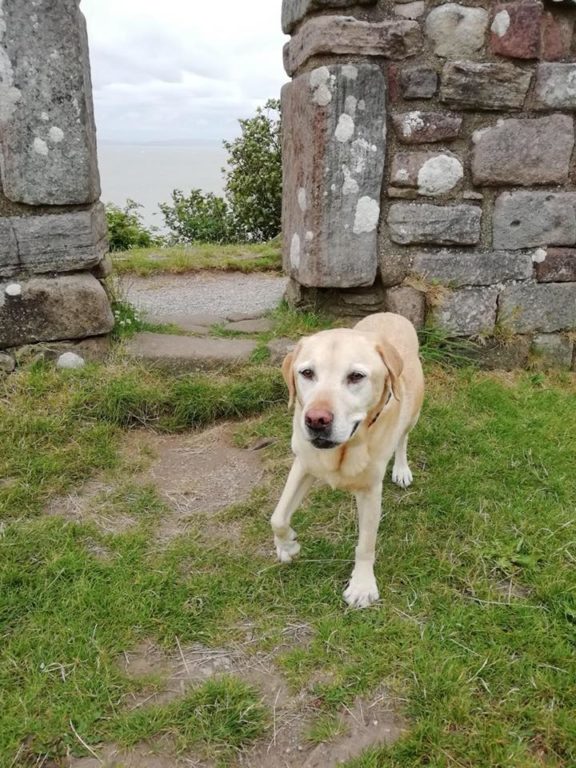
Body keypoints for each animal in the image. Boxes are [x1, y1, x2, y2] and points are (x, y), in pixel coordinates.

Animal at [270, 310, 424, 608]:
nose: (316, 420)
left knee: (403, 438)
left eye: (356, 376)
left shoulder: (370, 490)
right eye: (307, 373)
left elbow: (366, 544)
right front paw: (287, 545)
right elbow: (278, 516)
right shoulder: (303, 464)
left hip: (413, 412)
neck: (344, 448)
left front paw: (362, 585)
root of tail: (390, 313)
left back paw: (401, 468)